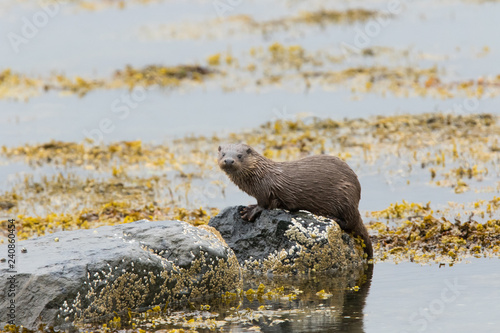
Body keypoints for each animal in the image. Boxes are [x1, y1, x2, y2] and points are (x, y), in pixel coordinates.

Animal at [217, 143, 374, 256]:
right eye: (223, 154)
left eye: (239, 156)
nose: (229, 160)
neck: (259, 175)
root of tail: (357, 196)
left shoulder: (264, 189)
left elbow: (263, 204)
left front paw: (250, 211)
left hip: (345, 195)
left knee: (350, 221)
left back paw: (331, 217)